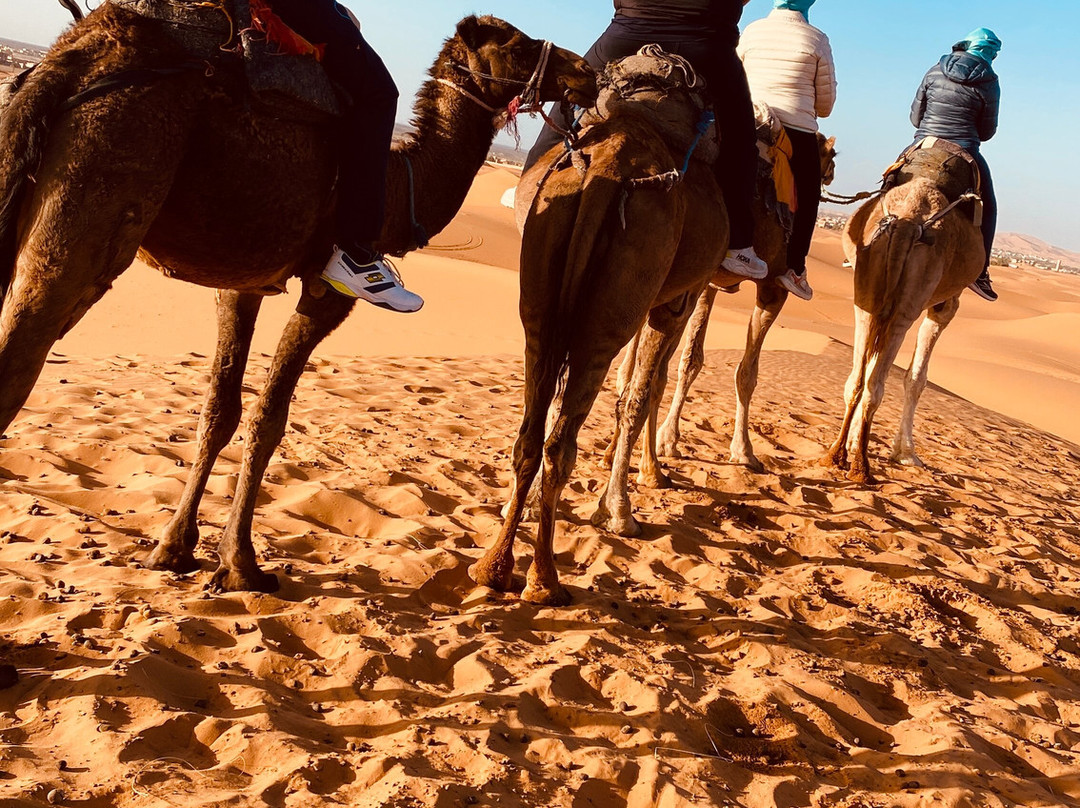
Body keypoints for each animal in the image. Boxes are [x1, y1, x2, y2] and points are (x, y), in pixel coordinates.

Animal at [0, 2, 595, 592]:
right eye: (517, 45)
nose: (583, 73)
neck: (399, 185)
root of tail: (77, 54)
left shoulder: (242, 281)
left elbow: (220, 410)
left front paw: (174, 548)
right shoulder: (327, 291)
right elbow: (269, 417)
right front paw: (240, 562)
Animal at [469, 47, 740, 605]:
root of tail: (610, 168)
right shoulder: (672, 301)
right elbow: (642, 391)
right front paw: (622, 509)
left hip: (541, 294)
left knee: (532, 433)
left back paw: (494, 567)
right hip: (615, 308)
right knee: (562, 439)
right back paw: (545, 581)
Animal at [822, 143, 985, 484]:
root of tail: (908, 220)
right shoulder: (944, 306)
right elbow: (916, 377)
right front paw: (906, 453)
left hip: (866, 294)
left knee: (859, 378)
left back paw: (837, 455)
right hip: (907, 306)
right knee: (879, 382)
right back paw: (862, 467)